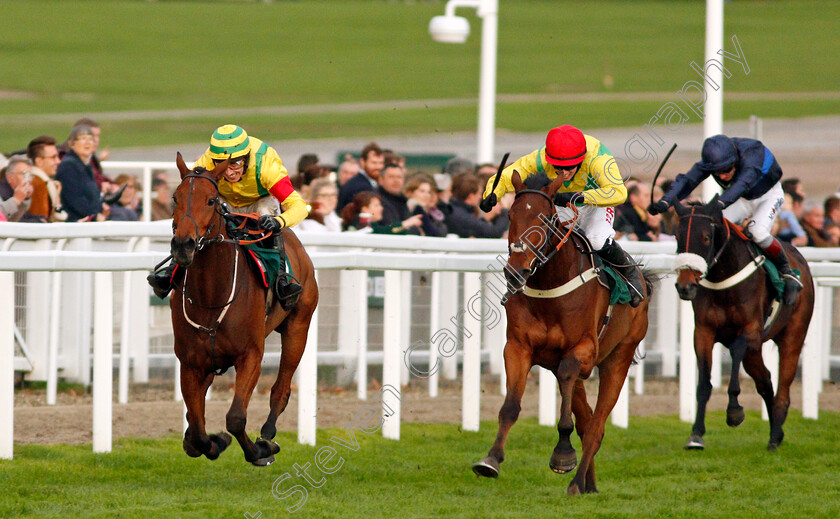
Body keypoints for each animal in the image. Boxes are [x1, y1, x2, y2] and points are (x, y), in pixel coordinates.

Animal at [170, 154, 318, 468]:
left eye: (211, 200)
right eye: (175, 198)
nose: (183, 245)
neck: (211, 296)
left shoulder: (250, 355)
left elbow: (236, 418)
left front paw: (260, 451)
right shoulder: (190, 362)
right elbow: (197, 425)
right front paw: (212, 442)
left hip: (298, 326)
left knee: (281, 389)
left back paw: (267, 434)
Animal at [472, 172, 656, 496]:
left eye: (545, 219)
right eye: (509, 216)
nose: (516, 272)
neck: (549, 287)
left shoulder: (583, 350)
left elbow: (569, 392)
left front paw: (562, 454)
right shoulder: (518, 347)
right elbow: (510, 407)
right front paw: (491, 460)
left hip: (619, 356)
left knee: (596, 427)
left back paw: (575, 482)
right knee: (587, 422)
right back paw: (588, 484)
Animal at [668, 199, 812, 450]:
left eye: (706, 237)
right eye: (677, 236)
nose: (685, 286)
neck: (724, 280)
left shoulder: (750, 330)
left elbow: (735, 351)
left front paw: (734, 412)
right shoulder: (703, 332)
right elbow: (704, 383)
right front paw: (696, 434)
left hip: (793, 336)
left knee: (783, 388)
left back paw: (775, 435)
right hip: (754, 352)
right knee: (765, 381)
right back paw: (776, 432)